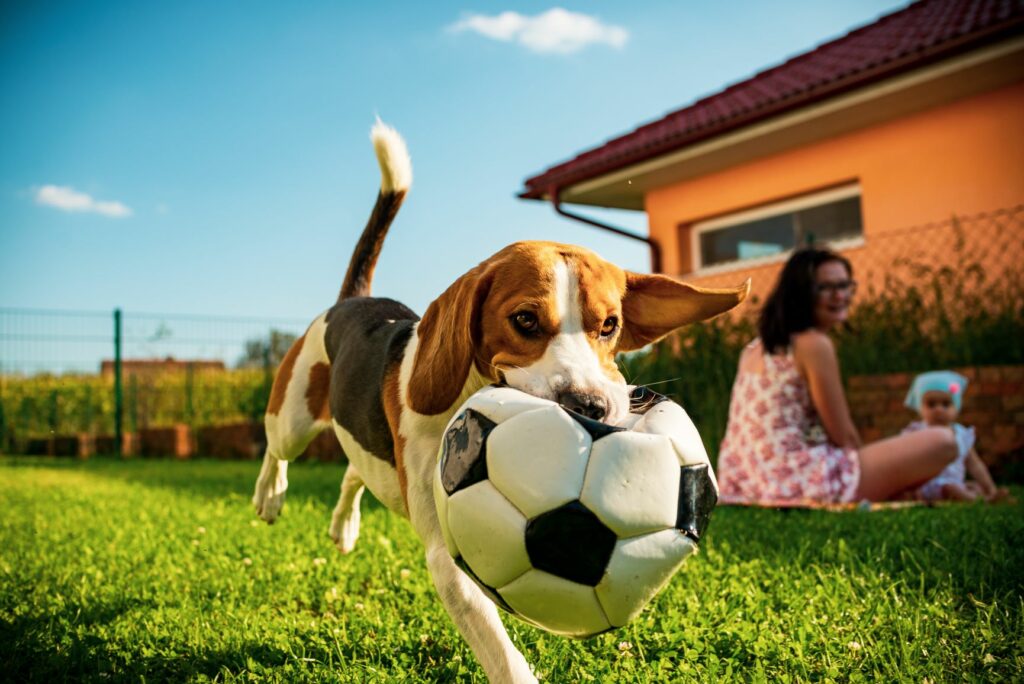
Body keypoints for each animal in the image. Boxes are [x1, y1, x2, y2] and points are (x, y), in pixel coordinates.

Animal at [251, 124, 749, 684]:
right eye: (525, 320)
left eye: (610, 326)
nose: (590, 406)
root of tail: (351, 301)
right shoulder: (450, 557)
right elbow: (500, 649)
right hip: (293, 416)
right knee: (276, 448)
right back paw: (269, 494)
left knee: (355, 471)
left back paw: (343, 525)